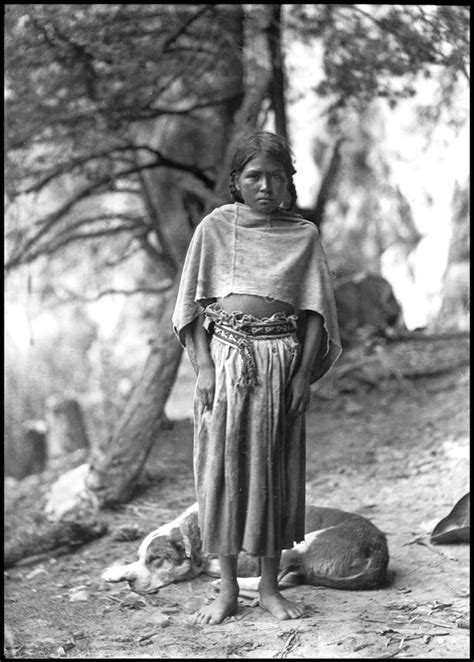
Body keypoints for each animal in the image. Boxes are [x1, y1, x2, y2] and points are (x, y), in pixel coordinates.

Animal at [101, 504, 388, 596]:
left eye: (157, 559)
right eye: (143, 558)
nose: (130, 583)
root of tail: (379, 545)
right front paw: (116, 571)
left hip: (304, 541)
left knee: (279, 578)